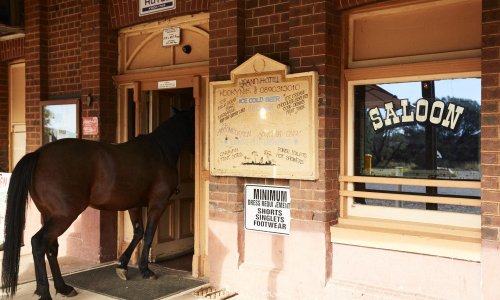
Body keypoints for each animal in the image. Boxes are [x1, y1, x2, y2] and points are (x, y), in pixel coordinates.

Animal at [1, 108, 193, 300]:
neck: (160, 150)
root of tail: (39, 154)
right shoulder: (158, 203)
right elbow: (149, 235)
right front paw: (145, 270)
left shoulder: (134, 205)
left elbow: (138, 233)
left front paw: (122, 265)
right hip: (64, 216)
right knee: (39, 243)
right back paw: (45, 291)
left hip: (49, 215)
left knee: (51, 248)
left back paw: (63, 287)